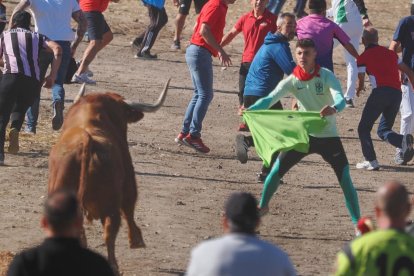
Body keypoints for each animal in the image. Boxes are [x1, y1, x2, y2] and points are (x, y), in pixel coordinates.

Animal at [48, 78, 170, 270]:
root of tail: (86, 139)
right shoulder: (128, 183)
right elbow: (129, 208)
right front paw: (136, 240)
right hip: (111, 205)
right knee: (110, 233)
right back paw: (115, 264)